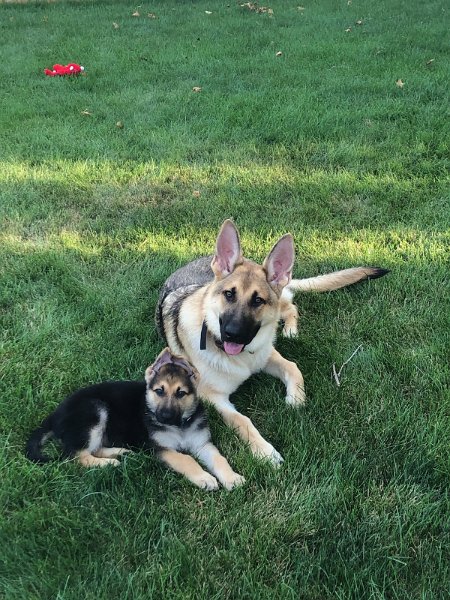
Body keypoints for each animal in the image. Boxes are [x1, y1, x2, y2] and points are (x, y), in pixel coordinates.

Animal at [25, 346, 246, 492]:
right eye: (159, 391)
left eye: (181, 393)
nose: (165, 417)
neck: (179, 426)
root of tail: (55, 414)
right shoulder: (160, 448)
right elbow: (186, 459)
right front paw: (204, 478)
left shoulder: (202, 444)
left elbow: (219, 458)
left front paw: (231, 477)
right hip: (94, 410)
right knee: (76, 455)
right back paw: (107, 463)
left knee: (90, 449)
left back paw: (118, 452)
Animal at [155, 219, 386, 464]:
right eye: (229, 294)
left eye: (258, 300)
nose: (232, 334)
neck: (239, 359)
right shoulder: (214, 398)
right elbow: (242, 420)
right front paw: (266, 452)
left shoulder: (266, 354)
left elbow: (293, 368)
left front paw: (296, 399)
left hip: (281, 301)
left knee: (291, 306)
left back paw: (290, 330)